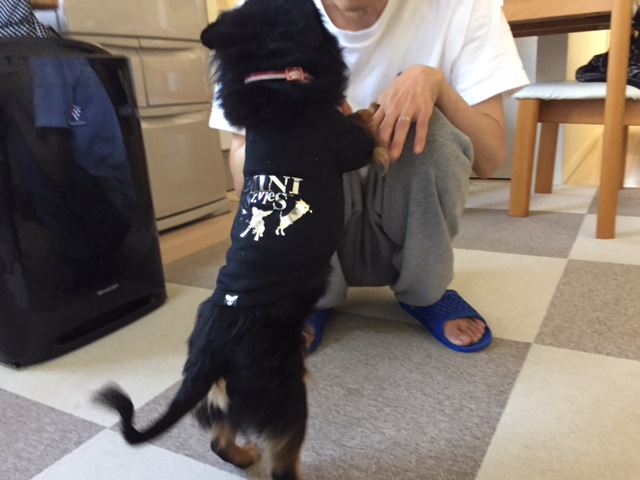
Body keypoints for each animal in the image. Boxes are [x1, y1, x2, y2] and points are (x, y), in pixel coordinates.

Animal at [94, 1, 387, 479]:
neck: (269, 73)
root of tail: (208, 357)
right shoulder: (343, 141)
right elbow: (362, 128)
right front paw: (369, 110)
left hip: (222, 398)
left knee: (219, 437)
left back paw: (244, 455)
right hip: (286, 395)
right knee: (283, 462)